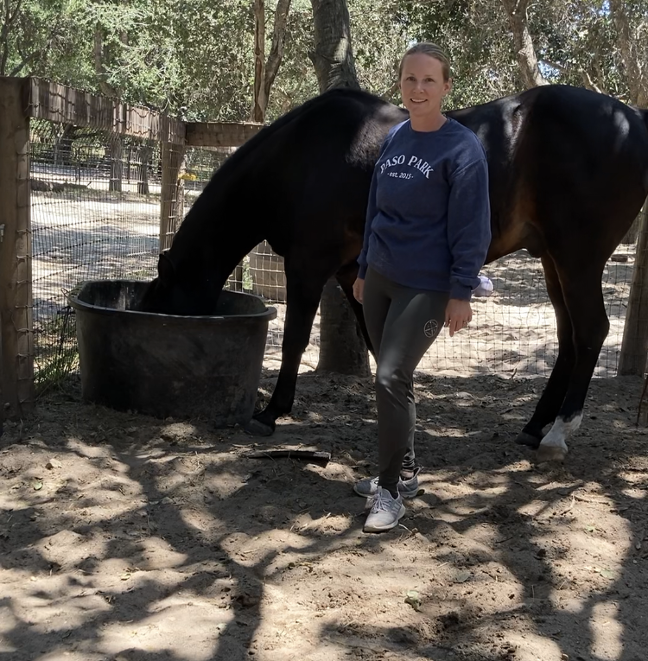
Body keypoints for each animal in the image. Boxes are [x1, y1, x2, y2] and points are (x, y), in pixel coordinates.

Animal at [140, 85, 648, 462]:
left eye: (164, 304)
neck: (299, 158)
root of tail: (634, 120)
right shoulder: (352, 275)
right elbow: (376, 343)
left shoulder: (307, 267)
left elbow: (294, 340)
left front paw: (271, 413)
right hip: (552, 262)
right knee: (569, 338)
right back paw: (534, 426)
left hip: (578, 260)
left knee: (592, 331)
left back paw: (558, 433)